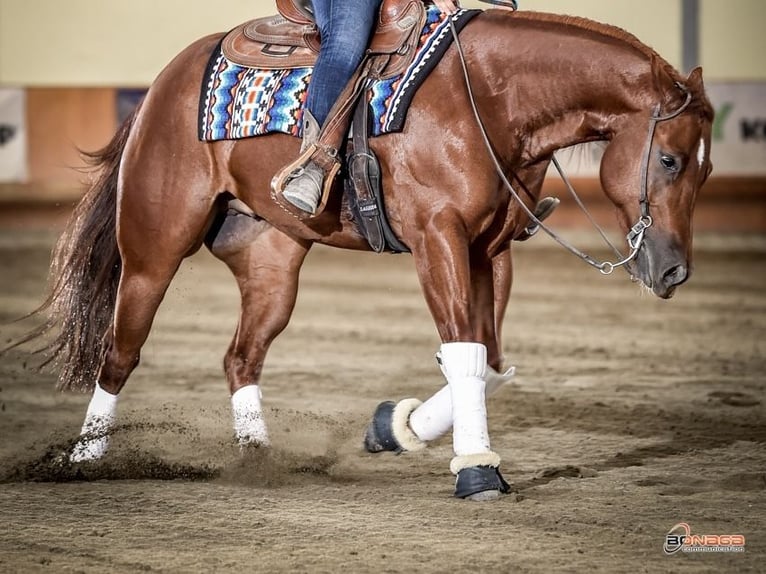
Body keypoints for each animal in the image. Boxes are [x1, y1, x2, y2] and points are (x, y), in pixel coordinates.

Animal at [23, 7, 713, 500]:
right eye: (670, 160)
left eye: (705, 170)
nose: (674, 270)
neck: (490, 98)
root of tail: (160, 87)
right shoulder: (437, 239)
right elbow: (464, 352)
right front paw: (477, 471)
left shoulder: (490, 250)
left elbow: (487, 360)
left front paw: (393, 429)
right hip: (153, 251)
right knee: (120, 354)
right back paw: (83, 463)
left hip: (272, 263)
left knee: (241, 357)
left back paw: (257, 460)